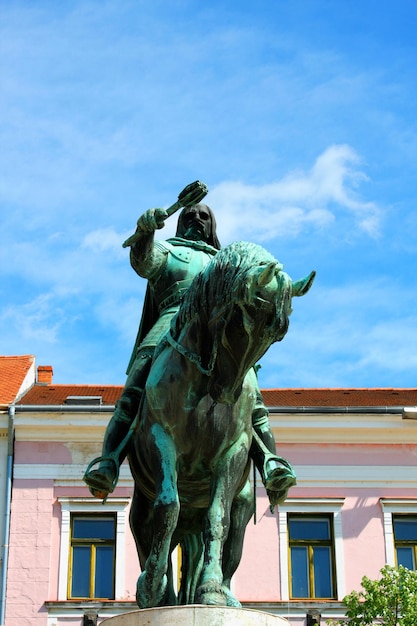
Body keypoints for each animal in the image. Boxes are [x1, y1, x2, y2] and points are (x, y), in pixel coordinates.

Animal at [128, 239, 314, 604]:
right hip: (141, 507)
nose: (228, 393)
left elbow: (218, 519)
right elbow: (168, 507)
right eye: (241, 323)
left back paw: (224, 594)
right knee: (154, 534)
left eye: (277, 336)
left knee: (228, 541)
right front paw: (151, 584)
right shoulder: (160, 439)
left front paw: (211, 589)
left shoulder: (234, 451)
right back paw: (159, 593)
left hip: (243, 504)